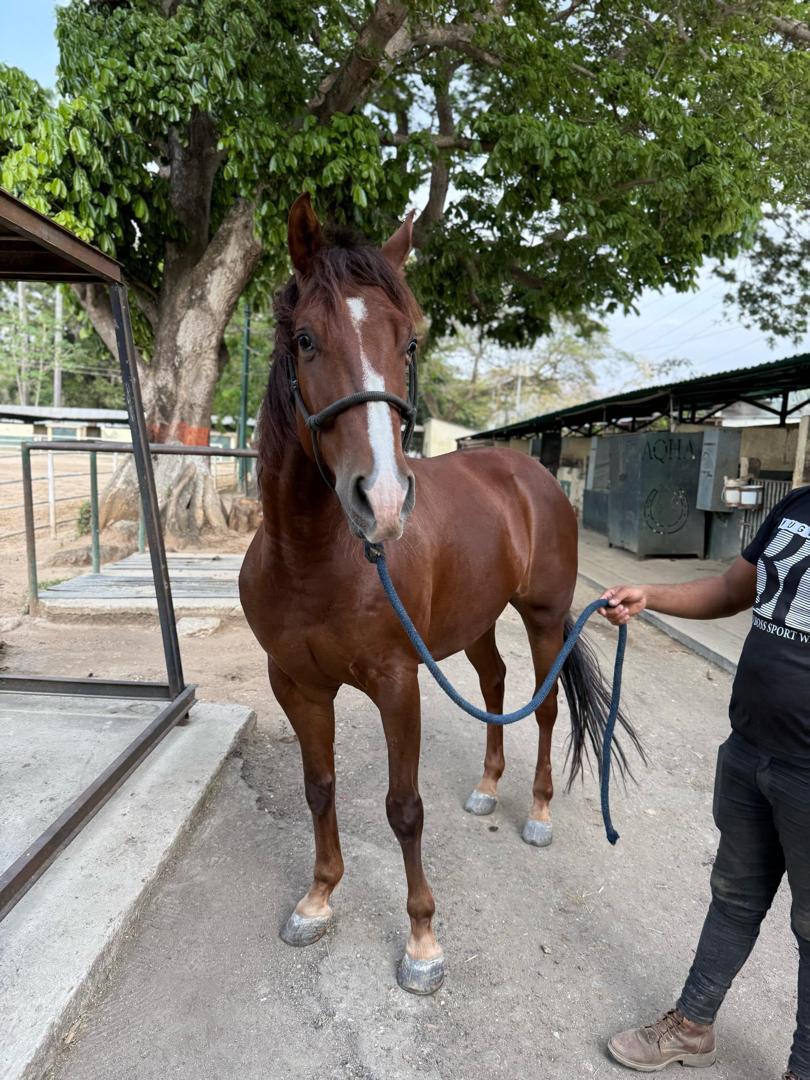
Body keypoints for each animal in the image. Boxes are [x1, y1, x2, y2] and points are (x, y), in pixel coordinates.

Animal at [239, 193, 640, 995]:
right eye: (305, 339)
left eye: (410, 344)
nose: (385, 500)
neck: (313, 560)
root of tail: (529, 474)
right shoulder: (295, 683)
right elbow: (319, 786)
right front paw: (318, 897)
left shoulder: (398, 683)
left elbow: (404, 808)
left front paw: (423, 941)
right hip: (478, 622)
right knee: (495, 684)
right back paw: (488, 786)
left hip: (544, 618)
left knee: (544, 707)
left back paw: (538, 813)